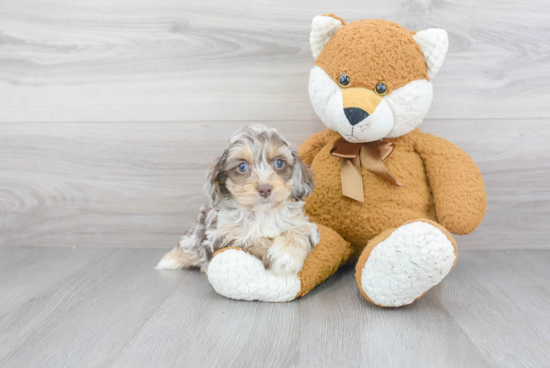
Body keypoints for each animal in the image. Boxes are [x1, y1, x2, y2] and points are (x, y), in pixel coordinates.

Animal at [155, 125, 320, 274]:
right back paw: (169, 260)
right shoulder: (220, 236)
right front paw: (270, 252)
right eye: (242, 167)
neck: (262, 213)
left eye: (279, 163)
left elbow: (296, 231)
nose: (265, 189)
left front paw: (287, 256)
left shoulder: (306, 226)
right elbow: (249, 237)